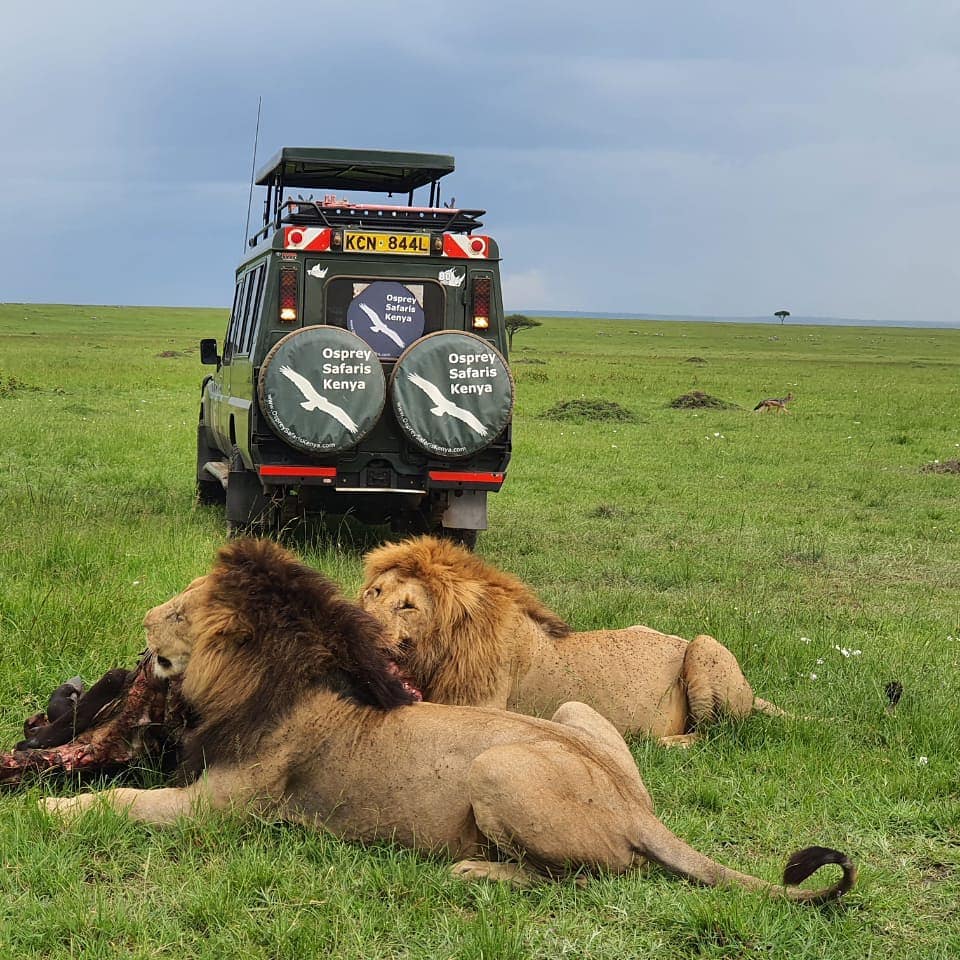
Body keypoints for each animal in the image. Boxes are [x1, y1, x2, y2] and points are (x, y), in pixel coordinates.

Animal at [362, 532, 788, 744]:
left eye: (408, 607)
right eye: (374, 593)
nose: (360, 622)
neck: (436, 654)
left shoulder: (478, 708)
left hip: (703, 645)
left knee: (716, 735)